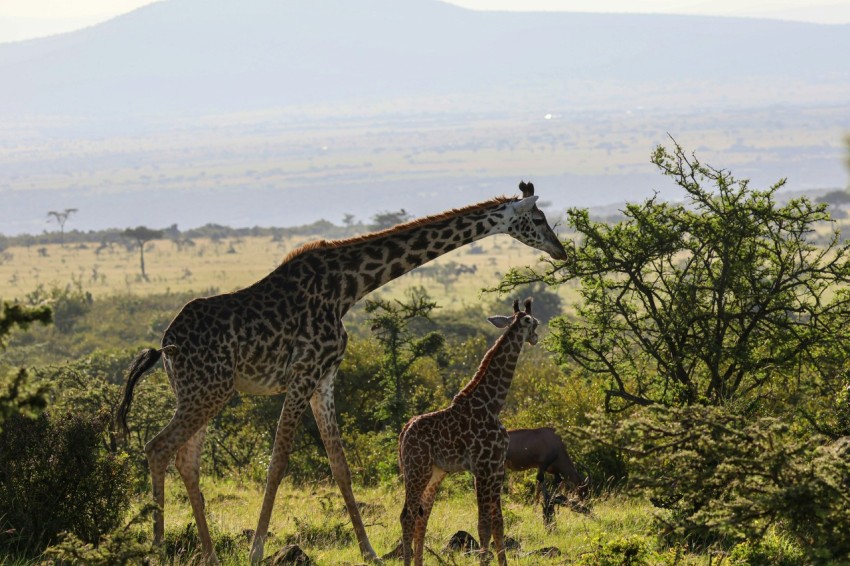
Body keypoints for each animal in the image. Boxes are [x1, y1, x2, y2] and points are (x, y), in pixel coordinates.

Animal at [398, 300, 536, 564]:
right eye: (533, 322)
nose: (536, 337)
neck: (492, 404)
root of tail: (404, 432)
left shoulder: (496, 469)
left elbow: (498, 524)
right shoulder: (482, 468)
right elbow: (483, 524)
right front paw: (483, 560)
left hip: (434, 473)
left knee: (422, 517)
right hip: (416, 470)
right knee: (407, 516)